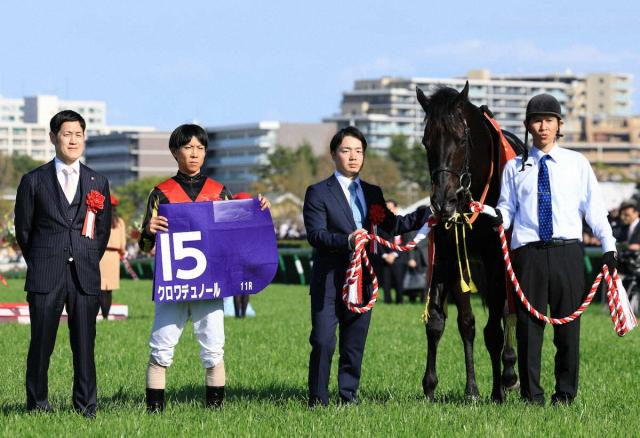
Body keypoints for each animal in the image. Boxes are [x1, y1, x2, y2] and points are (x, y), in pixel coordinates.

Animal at [415, 81, 522, 402]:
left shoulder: (496, 259)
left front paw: (497, 390)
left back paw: (510, 374)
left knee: (510, 313)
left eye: (461, 138)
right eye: (426, 141)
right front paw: (436, 386)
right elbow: (451, 323)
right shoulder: (450, 257)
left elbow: (494, 329)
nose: (442, 201)